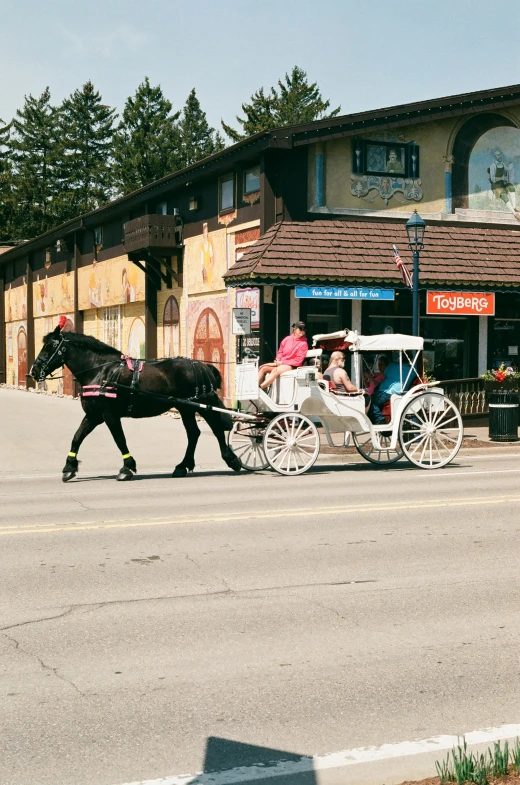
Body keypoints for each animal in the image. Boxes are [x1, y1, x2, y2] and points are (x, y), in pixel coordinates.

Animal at [31, 324, 243, 480]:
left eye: (50, 347)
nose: (34, 370)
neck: (100, 371)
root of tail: (203, 366)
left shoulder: (109, 415)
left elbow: (119, 439)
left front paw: (127, 468)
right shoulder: (93, 415)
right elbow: (77, 437)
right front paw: (69, 467)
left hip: (203, 405)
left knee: (216, 428)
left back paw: (231, 459)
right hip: (185, 408)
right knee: (194, 433)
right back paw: (183, 466)